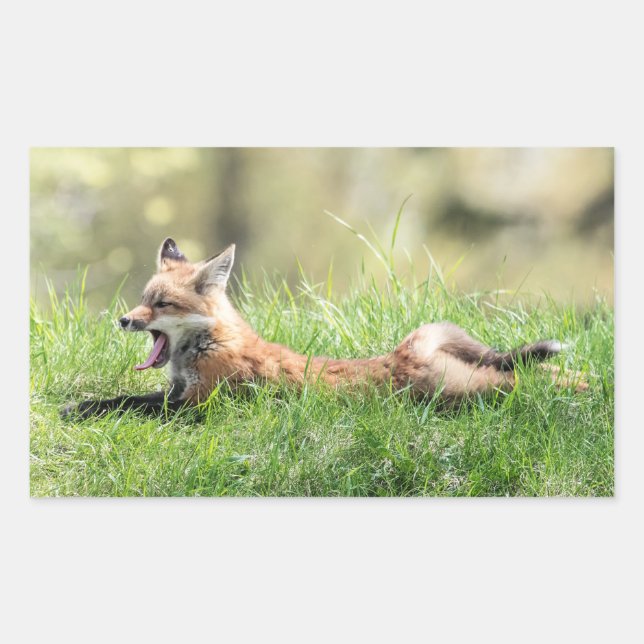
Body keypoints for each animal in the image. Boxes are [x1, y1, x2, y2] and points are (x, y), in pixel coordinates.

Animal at [63, 238, 587, 419]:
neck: (207, 346)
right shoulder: (175, 394)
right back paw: (583, 382)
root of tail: (402, 353)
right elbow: (121, 398)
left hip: (465, 391)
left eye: (161, 304)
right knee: (525, 371)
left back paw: (581, 387)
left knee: (521, 379)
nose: (123, 319)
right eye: (142, 300)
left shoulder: (198, 406)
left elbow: (131, 406)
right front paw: (81, 404)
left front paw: (80, 410)